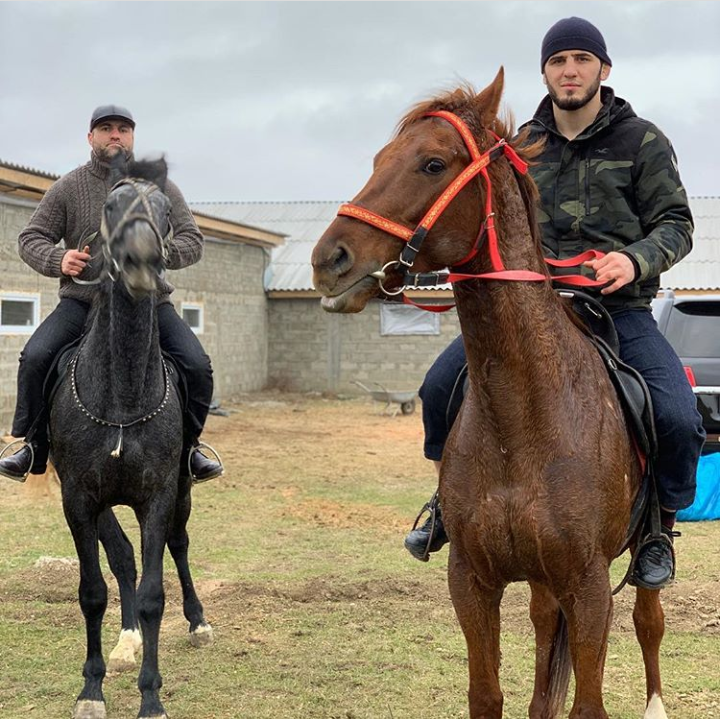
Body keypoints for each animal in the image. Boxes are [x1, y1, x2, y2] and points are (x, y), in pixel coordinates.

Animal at [48, 159, 208, 719]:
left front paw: (151, 698)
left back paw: (198, 622)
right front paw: (91, 690)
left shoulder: (157, 496)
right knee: (120, 558)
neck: (120, 397)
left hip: (182, 491)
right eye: (112, 205)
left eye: (165, 211)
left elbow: (154, 593)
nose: (140, 261)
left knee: (179, 547)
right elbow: (94, 590)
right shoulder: (79, 499)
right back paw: (126, 640)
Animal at [312, 69, 668, 719]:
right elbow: (487, 693)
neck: (523, 417)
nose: (330, 259)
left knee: (649, 619)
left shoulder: (588, 587)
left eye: (432, 163)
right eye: (378, 160)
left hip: (642, 552)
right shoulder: (472, 580)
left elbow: (589, 701)